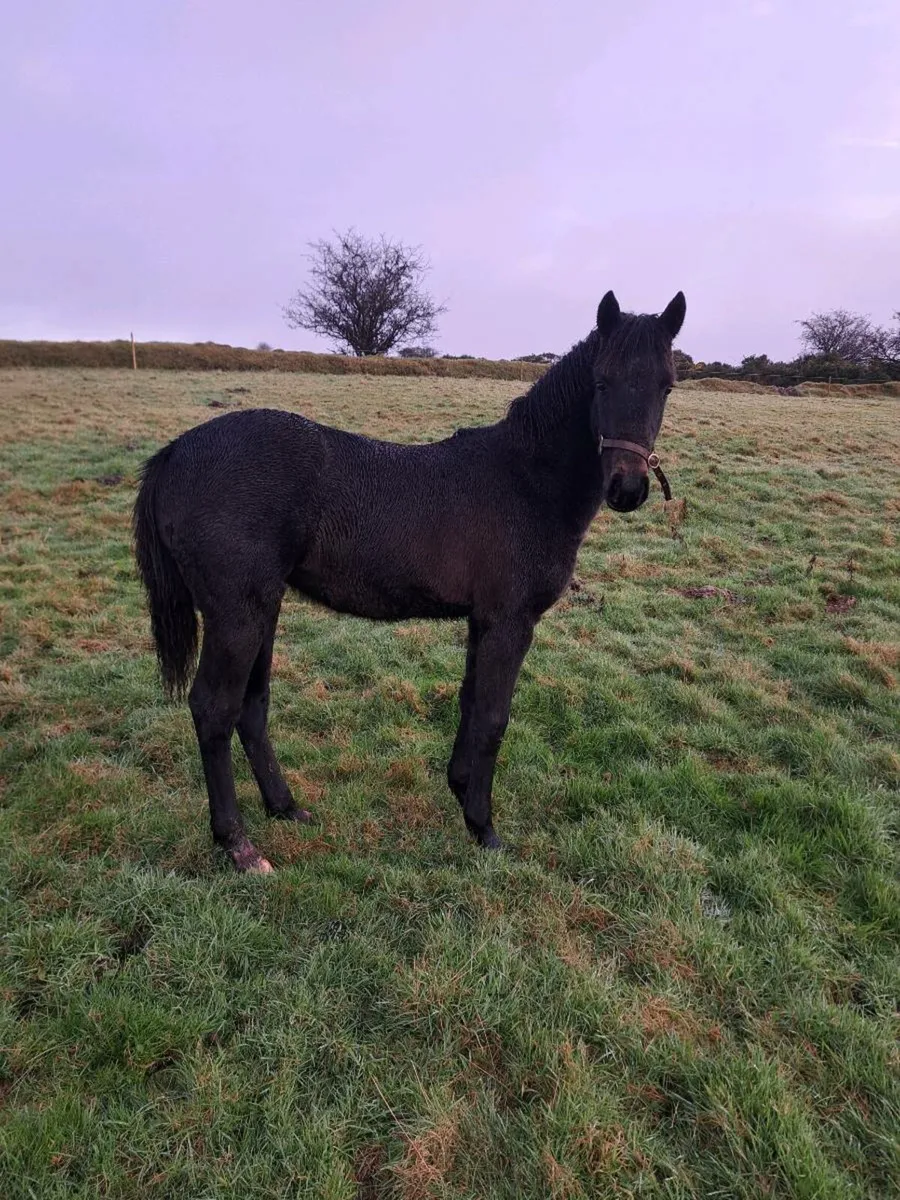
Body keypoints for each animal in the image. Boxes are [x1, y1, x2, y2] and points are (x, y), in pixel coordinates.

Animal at [133, 289, 686, 872]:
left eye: (667, 385)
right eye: (601, 381)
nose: (628, 488)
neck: (526, 480)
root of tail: (174, 453)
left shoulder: (483, 620)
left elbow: (471, 703)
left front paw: (461, 791)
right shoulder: (510, 621)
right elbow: (494, 716)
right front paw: (484, 827)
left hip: (263, 606)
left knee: (251, 707)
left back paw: (286, 808)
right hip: (236, 614)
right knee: (214, 710)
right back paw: (238, 844)